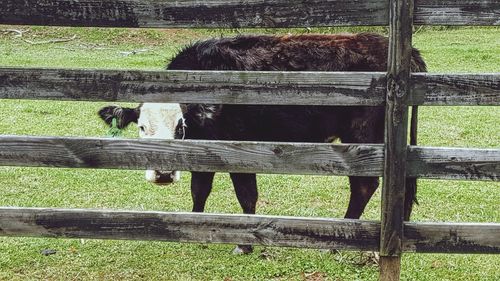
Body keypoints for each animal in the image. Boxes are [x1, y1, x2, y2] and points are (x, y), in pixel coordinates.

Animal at [98, 32, 426, 254]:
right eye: (142, 127)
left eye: (181, 127)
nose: (164, 173)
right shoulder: (202, 153)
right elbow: (199, 189)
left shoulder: (239, 154)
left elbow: (246, 196)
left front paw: (244, 244)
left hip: (362, 141)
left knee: (364, 185)